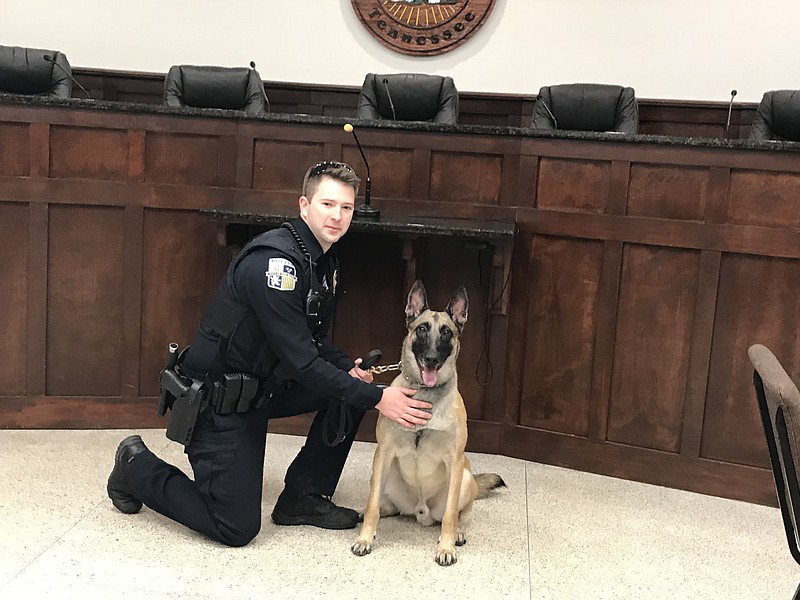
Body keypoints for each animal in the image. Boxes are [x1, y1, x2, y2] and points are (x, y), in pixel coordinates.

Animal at [352, 278, 504, 564]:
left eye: (446, 333)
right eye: (422, 329)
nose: (432, 359)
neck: (425, 393)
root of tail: (420, 511)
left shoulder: (454, 461)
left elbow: (450, 516)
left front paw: (446, 547)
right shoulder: (384, 452)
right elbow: (372, 504)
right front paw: (365, 538)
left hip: (464, 478)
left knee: (459, 514)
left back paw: (457, 533)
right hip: (382, 472)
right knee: (385, 505)